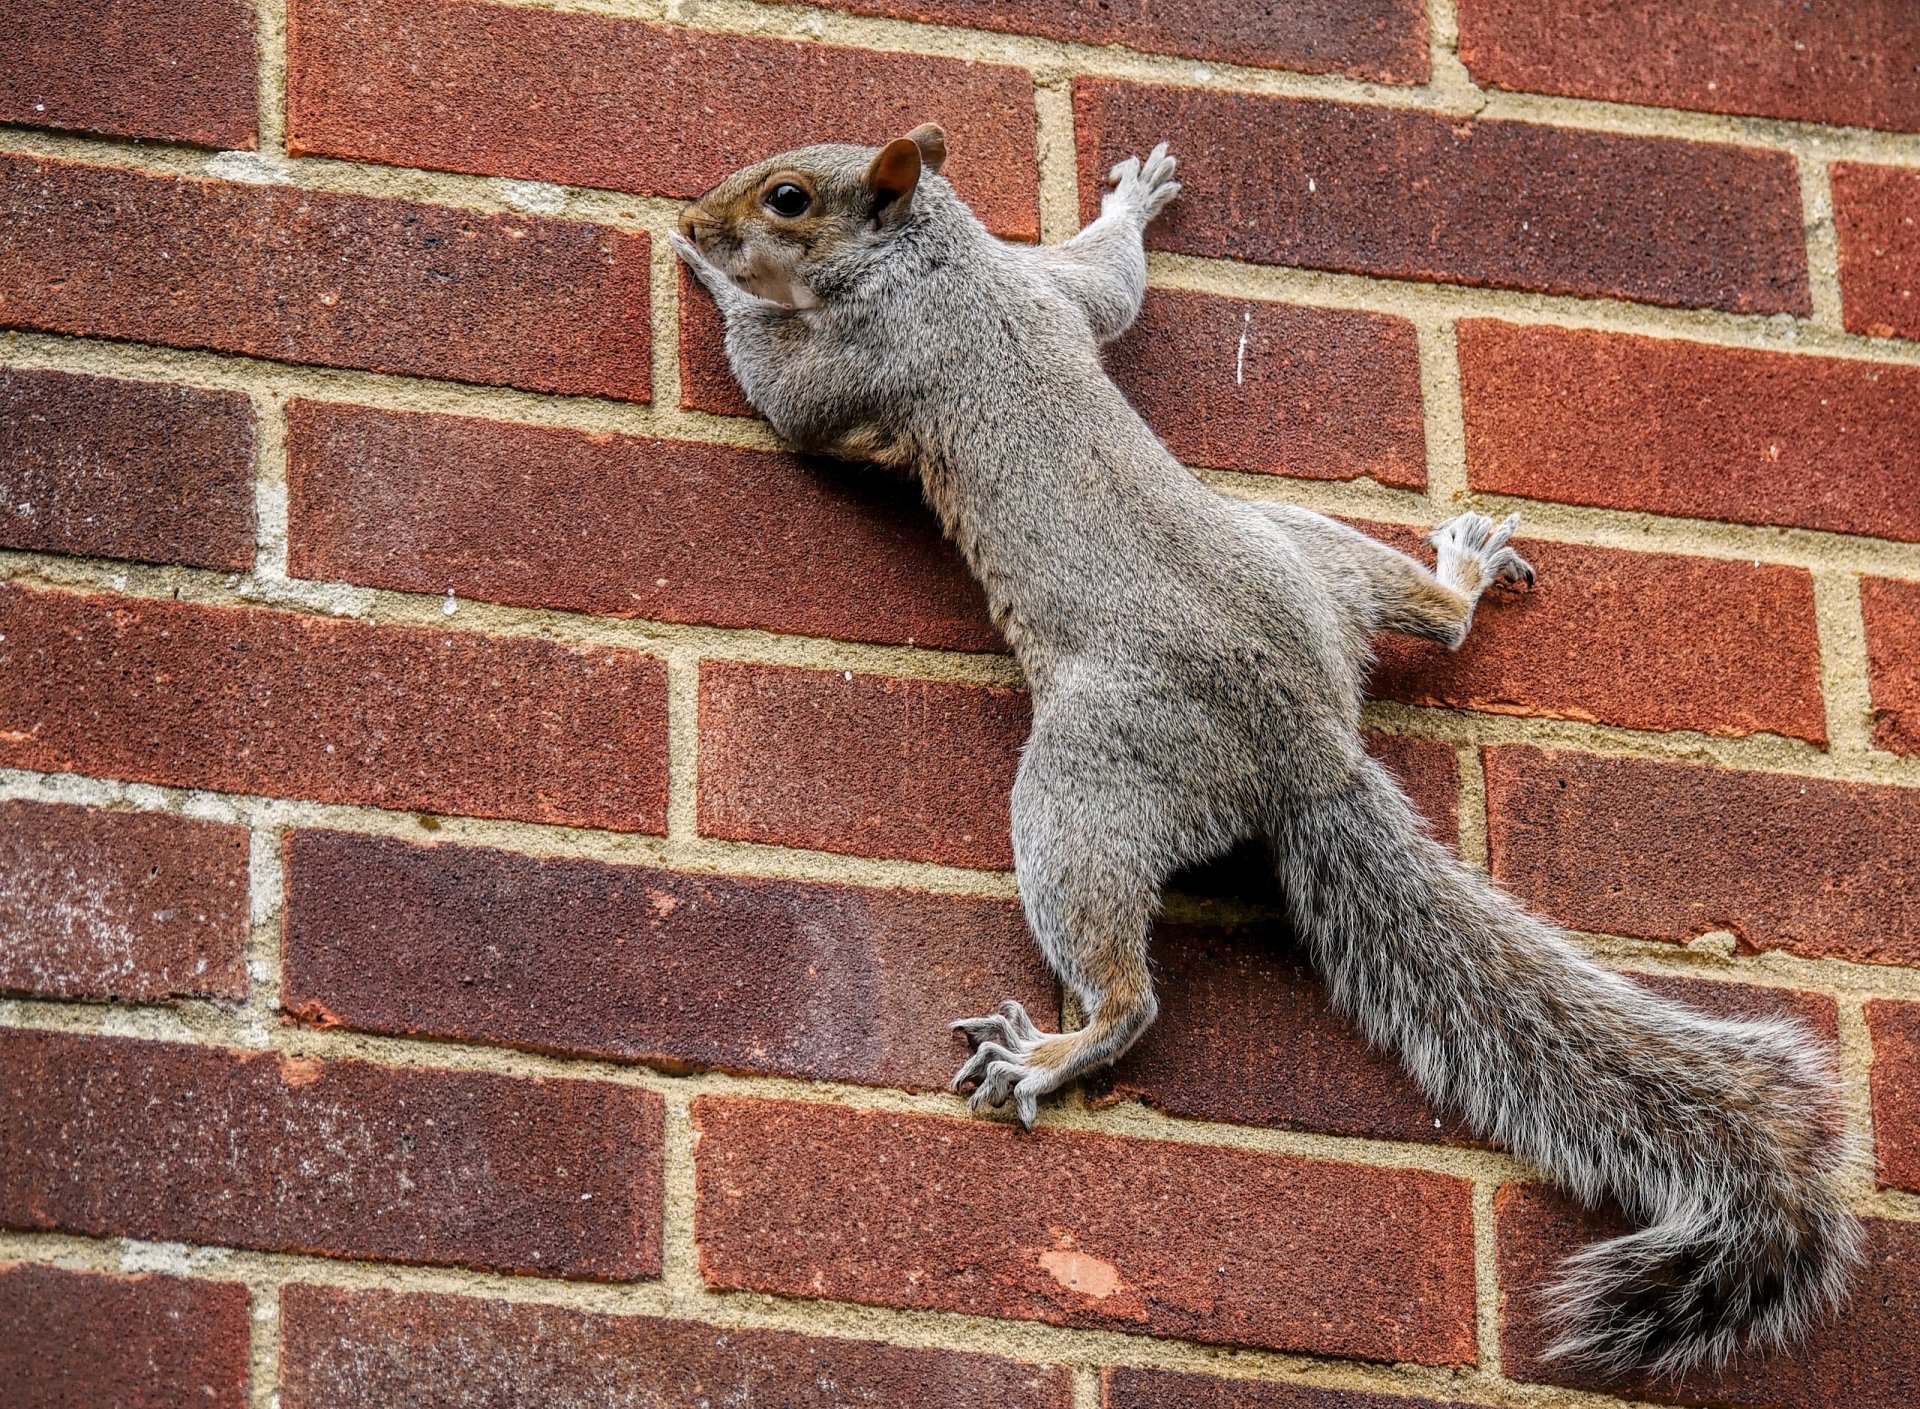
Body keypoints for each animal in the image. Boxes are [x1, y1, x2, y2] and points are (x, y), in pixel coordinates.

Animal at [672, 124, 1861, 1376]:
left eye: (787, 199)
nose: (700, 218)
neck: (939, 262)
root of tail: (1309, 751)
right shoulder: (1050, 285)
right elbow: (1110, 282)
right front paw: (1135, 201)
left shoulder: (870, 356)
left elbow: (784, 394)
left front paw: (708, 274)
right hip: (1301, 550)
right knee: (1430, 620)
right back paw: (1459, 577)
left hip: (1085, 781)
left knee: (1130, 991)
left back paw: (1054, 1051)